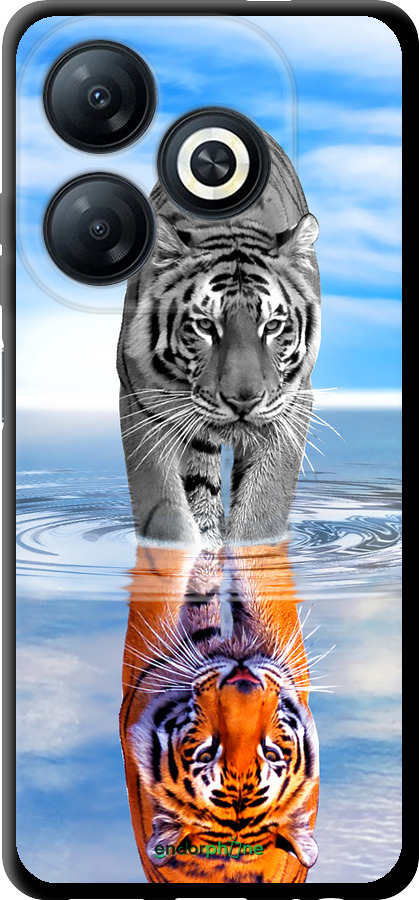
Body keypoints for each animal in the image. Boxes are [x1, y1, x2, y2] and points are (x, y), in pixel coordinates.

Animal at [117, 131, 321, 548]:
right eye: (205, 326)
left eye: (272, 326)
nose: (243, 401)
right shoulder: (140, 404)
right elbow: (165, 510)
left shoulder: (292, 406)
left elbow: (262, 508)